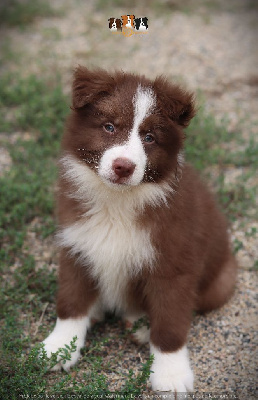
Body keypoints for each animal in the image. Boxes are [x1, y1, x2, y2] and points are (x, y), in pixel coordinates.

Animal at [42, 67, 238, 392]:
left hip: (221, 281)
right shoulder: (77, 244)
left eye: (149, 138)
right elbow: (71, 301)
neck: (117, 203)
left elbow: (170, 323)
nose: (123, 166)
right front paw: (59, 347)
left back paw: (144, 328)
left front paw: (171, 375)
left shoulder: (174, 263)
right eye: (109, 127)